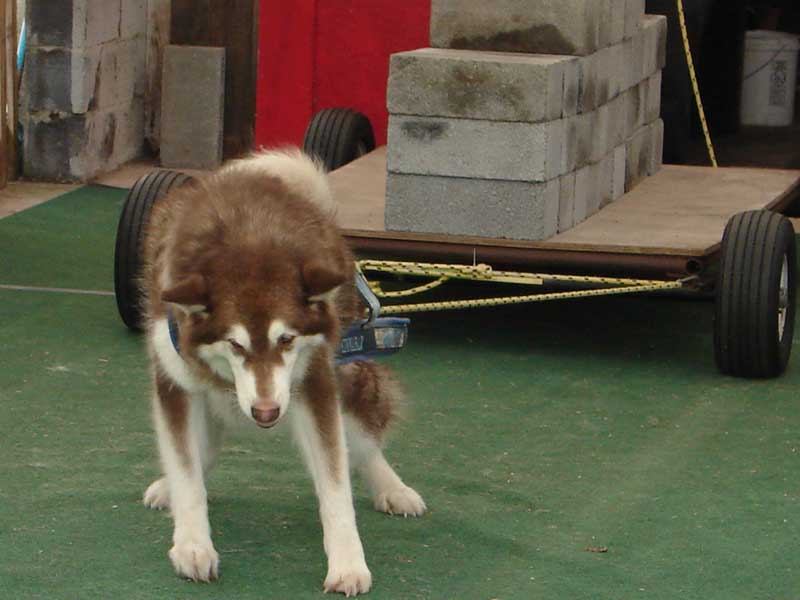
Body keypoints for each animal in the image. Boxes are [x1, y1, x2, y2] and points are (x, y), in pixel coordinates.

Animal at [139, 150, 424, 596]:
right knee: (202, 447)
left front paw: (347, 562)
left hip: (345, 369)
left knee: (361, 441)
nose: (266, 413)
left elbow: (336, 483)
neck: (248, 234)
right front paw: (192, 545)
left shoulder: (315, 381)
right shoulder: (174, 381)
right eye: (236, 345)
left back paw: (392, 487)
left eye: (287, 339)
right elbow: (186, 473)